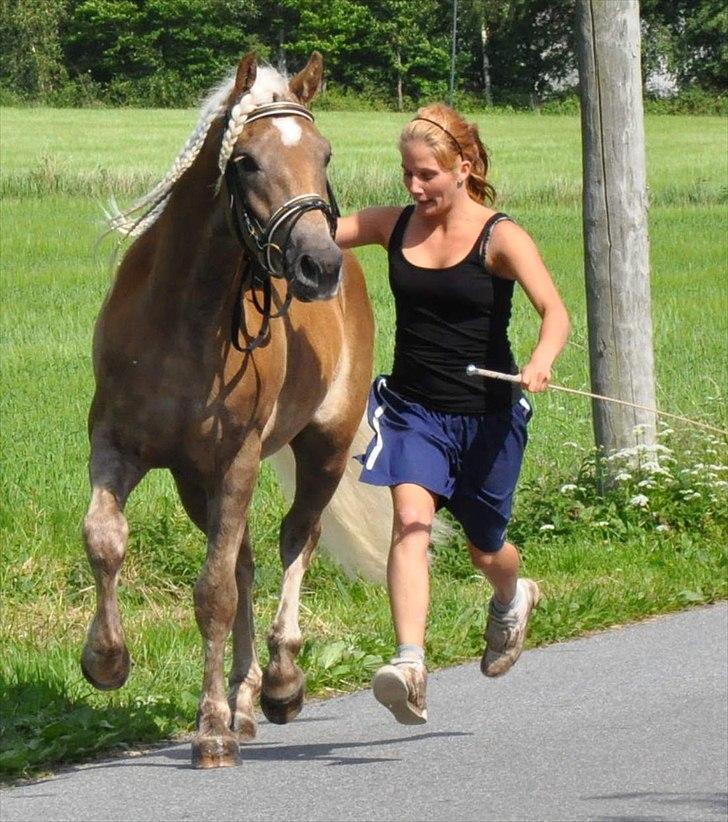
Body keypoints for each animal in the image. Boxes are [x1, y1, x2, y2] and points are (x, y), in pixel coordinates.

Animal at [81, 53, 392, 772]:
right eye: (245, 160)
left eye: (325, 153)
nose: (317, 265)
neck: (182, 318)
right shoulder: (116, 443)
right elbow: (104, 539)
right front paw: (106, 661)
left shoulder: (238, 459)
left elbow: (213, 593)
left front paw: (213, 731)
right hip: (196, 482)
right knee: (248, 560)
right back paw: (247, 699)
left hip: (322, 448)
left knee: (296, 538)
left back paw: (279, 684)